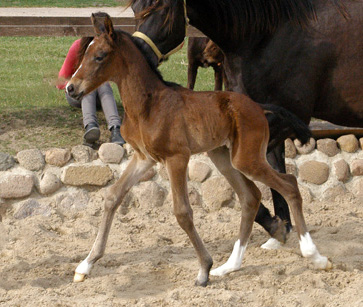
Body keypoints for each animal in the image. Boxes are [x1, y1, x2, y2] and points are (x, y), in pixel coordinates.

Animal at [67, 13, 332, 288]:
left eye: (100, 56)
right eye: (84, 54)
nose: (71, 88)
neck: (148, 105)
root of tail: (259, 107)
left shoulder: (176, 158)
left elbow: (182, 212)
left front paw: (204, 268)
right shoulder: (144, 158)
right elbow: (112, 197)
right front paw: (85, 265)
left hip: (247, 158)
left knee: (289, 184)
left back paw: (315, 256)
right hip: (223, 156)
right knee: (250, 196)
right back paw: (230, 266)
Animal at [129, 0, 362, 250]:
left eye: (162, 8)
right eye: (135, 8)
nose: (139, 54)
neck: (268, 34)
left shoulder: (281, 122)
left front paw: (273, 223)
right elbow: (273, 175)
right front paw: (280, 228)